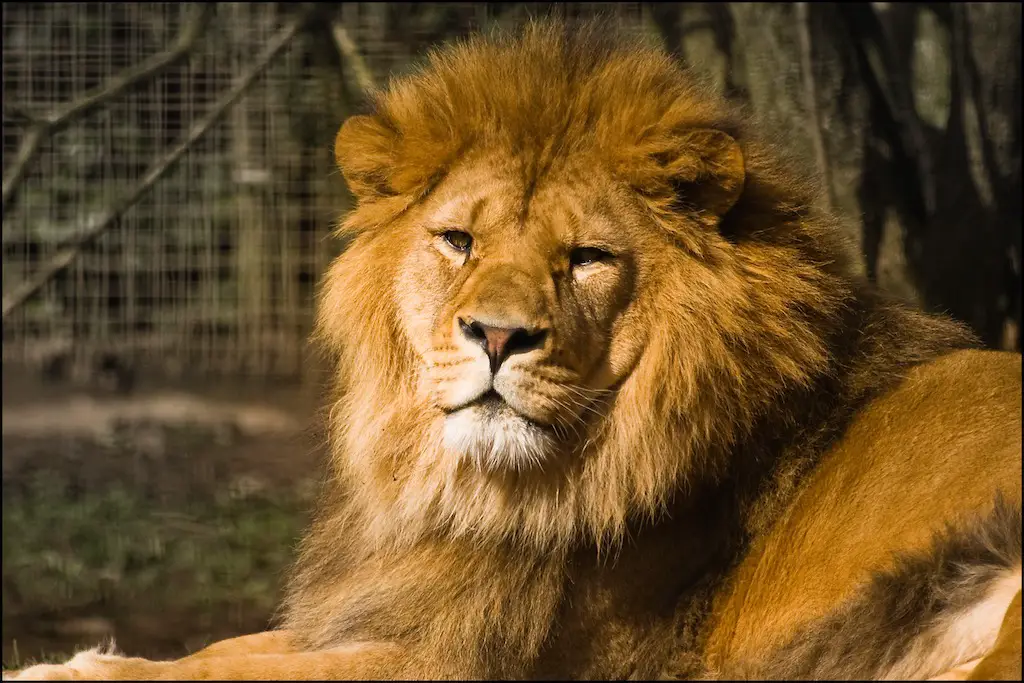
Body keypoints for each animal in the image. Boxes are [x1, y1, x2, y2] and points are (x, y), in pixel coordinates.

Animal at [6, 18, 1015, 679]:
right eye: (458, 241)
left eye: (588, 258)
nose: (496, 334)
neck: (483, 492)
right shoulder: (405, 606)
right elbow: (229, 646)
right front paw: (87, 654)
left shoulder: (483, 661)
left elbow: (239, 669)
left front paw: (66, 668)